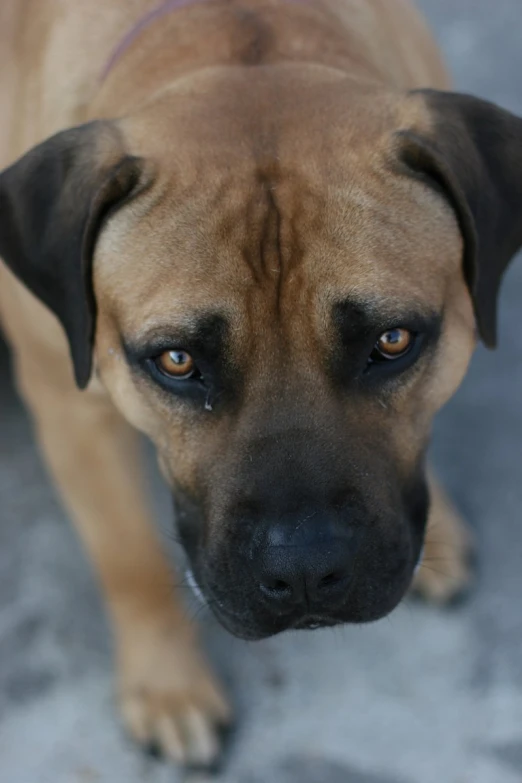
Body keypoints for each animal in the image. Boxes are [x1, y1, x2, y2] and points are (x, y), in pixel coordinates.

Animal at [1, 0, 520, 772]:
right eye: (176, 360)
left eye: (392, 342)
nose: (305, 572)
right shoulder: (69, 406)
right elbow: (127, 555)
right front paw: (168, 684)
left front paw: (445, 533)